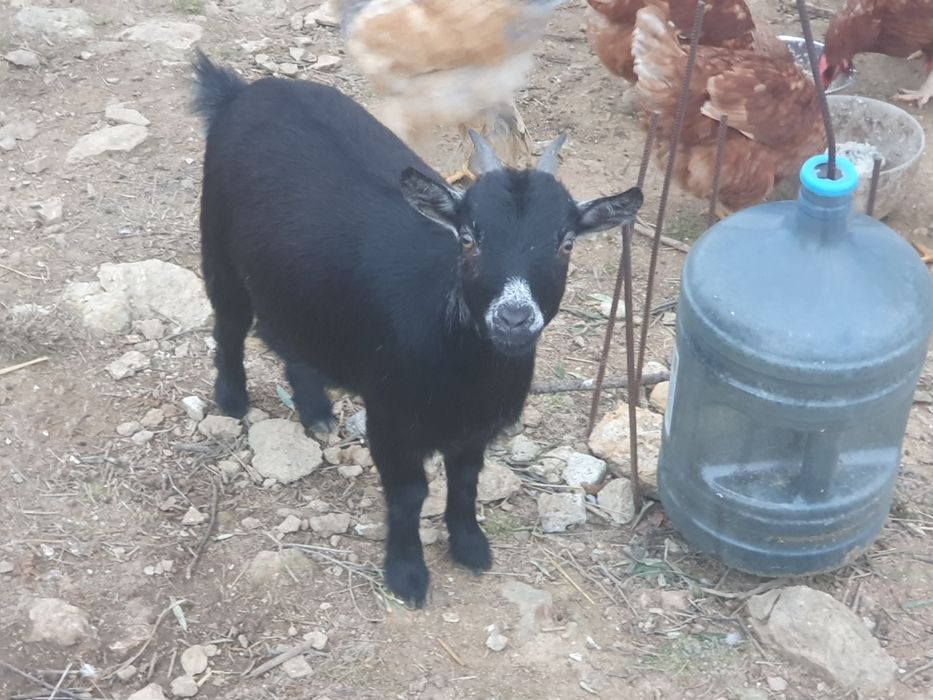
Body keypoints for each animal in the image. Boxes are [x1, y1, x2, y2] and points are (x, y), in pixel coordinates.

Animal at [192, 51, 643, 606]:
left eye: (566, 242)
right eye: (468, 238)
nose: (513, 317)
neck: (467, 370)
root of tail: (238, 92)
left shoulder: (475, 426)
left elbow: (466, 481)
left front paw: (471, 546)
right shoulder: (392, 417)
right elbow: (409, 495)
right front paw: (406, 574)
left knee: (291, 336)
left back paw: (316, 411)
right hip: (217, 241)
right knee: (231, 322)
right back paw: (233, 399)